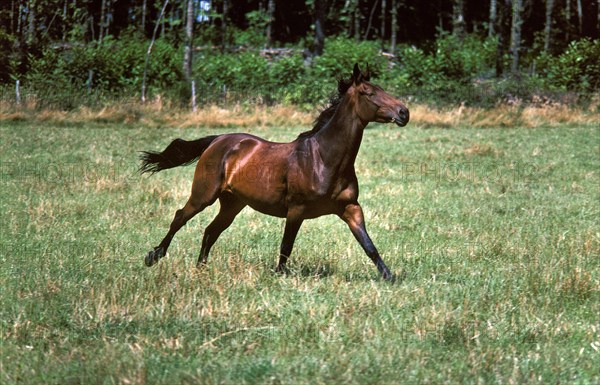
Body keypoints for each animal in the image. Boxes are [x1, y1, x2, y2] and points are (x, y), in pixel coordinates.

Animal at [140, 62, 410, 280]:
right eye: (369, 93)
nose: (403, 113)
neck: (323, 160)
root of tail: (218, 140)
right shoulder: (296, 210)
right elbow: (286, 246)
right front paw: (279, 275)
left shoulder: (351, 208)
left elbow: (369, 245)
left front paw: (389, 277)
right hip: (203, 195)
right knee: (180, 217)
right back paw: (153, 256)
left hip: (232, 203)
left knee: (210, 231)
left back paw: (201, 268)